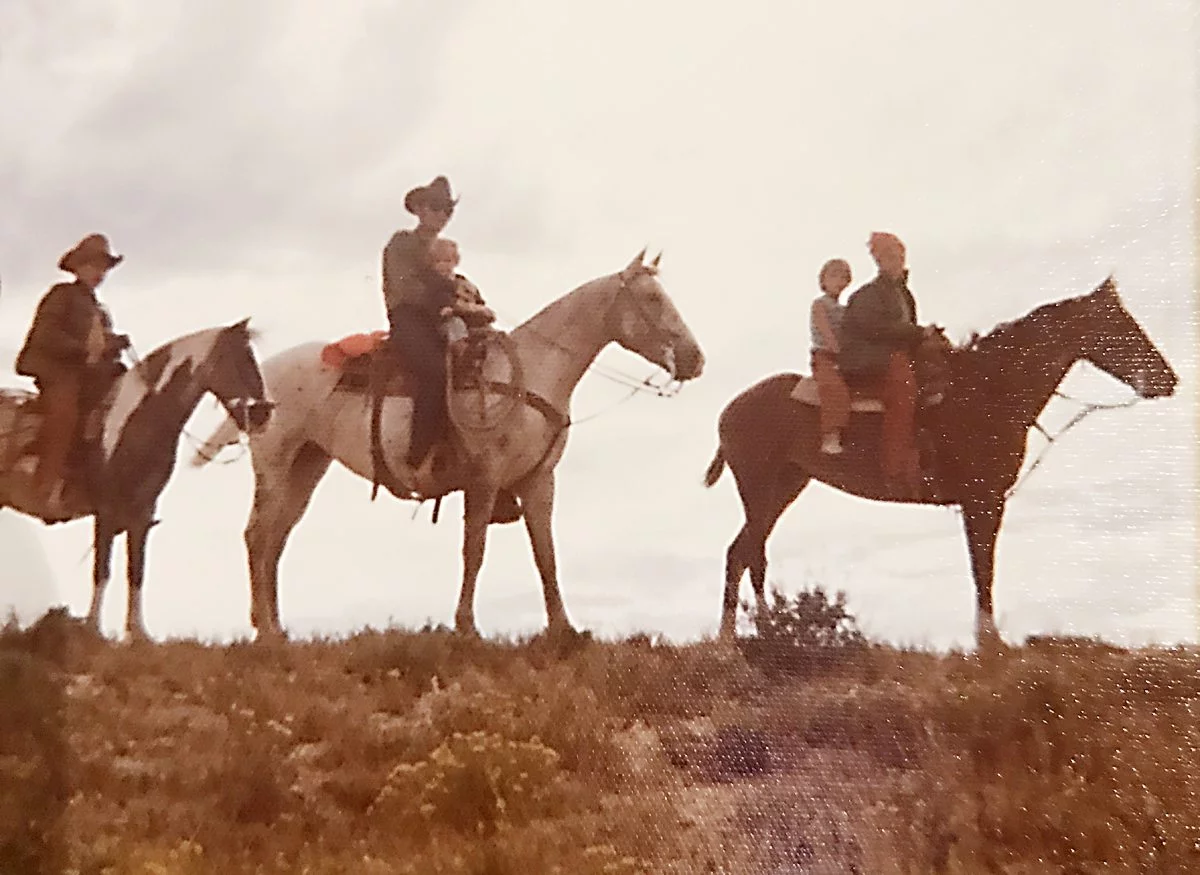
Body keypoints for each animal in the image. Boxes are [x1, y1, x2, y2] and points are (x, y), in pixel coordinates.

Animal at [0, 321, 273, 643]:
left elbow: (136, 570)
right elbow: (102, 569)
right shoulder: (106, 512)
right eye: (241, 359)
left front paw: (138, 633)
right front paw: (94, 629)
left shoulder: (142, 513)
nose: (264, 412)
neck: (138, 420)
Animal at [192, 249, 705, 638]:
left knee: (277, 539)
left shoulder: (539, 481)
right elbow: (474, 550)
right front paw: (466, 626)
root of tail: (262, 378)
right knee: (257, 536)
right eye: (652, 298)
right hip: (275, 466)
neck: (529, 375)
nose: (695, 359)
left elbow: (546, 555)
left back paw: (276, 627)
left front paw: (563, 629)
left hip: (307, 466)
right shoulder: (485, 479)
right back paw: (265, 629)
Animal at [700, 278, 1180, 648]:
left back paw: (766, 631)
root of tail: (729, 411)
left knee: (752, 552)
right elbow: (982, 568)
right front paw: (988, 642)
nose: (1168, 379)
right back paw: (730, 642)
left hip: (785, 485)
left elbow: (983, 567)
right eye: (1120, 325)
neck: (990, 390)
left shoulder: (984, 501)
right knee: (742, 553)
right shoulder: (982, 500)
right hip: (760, 487)